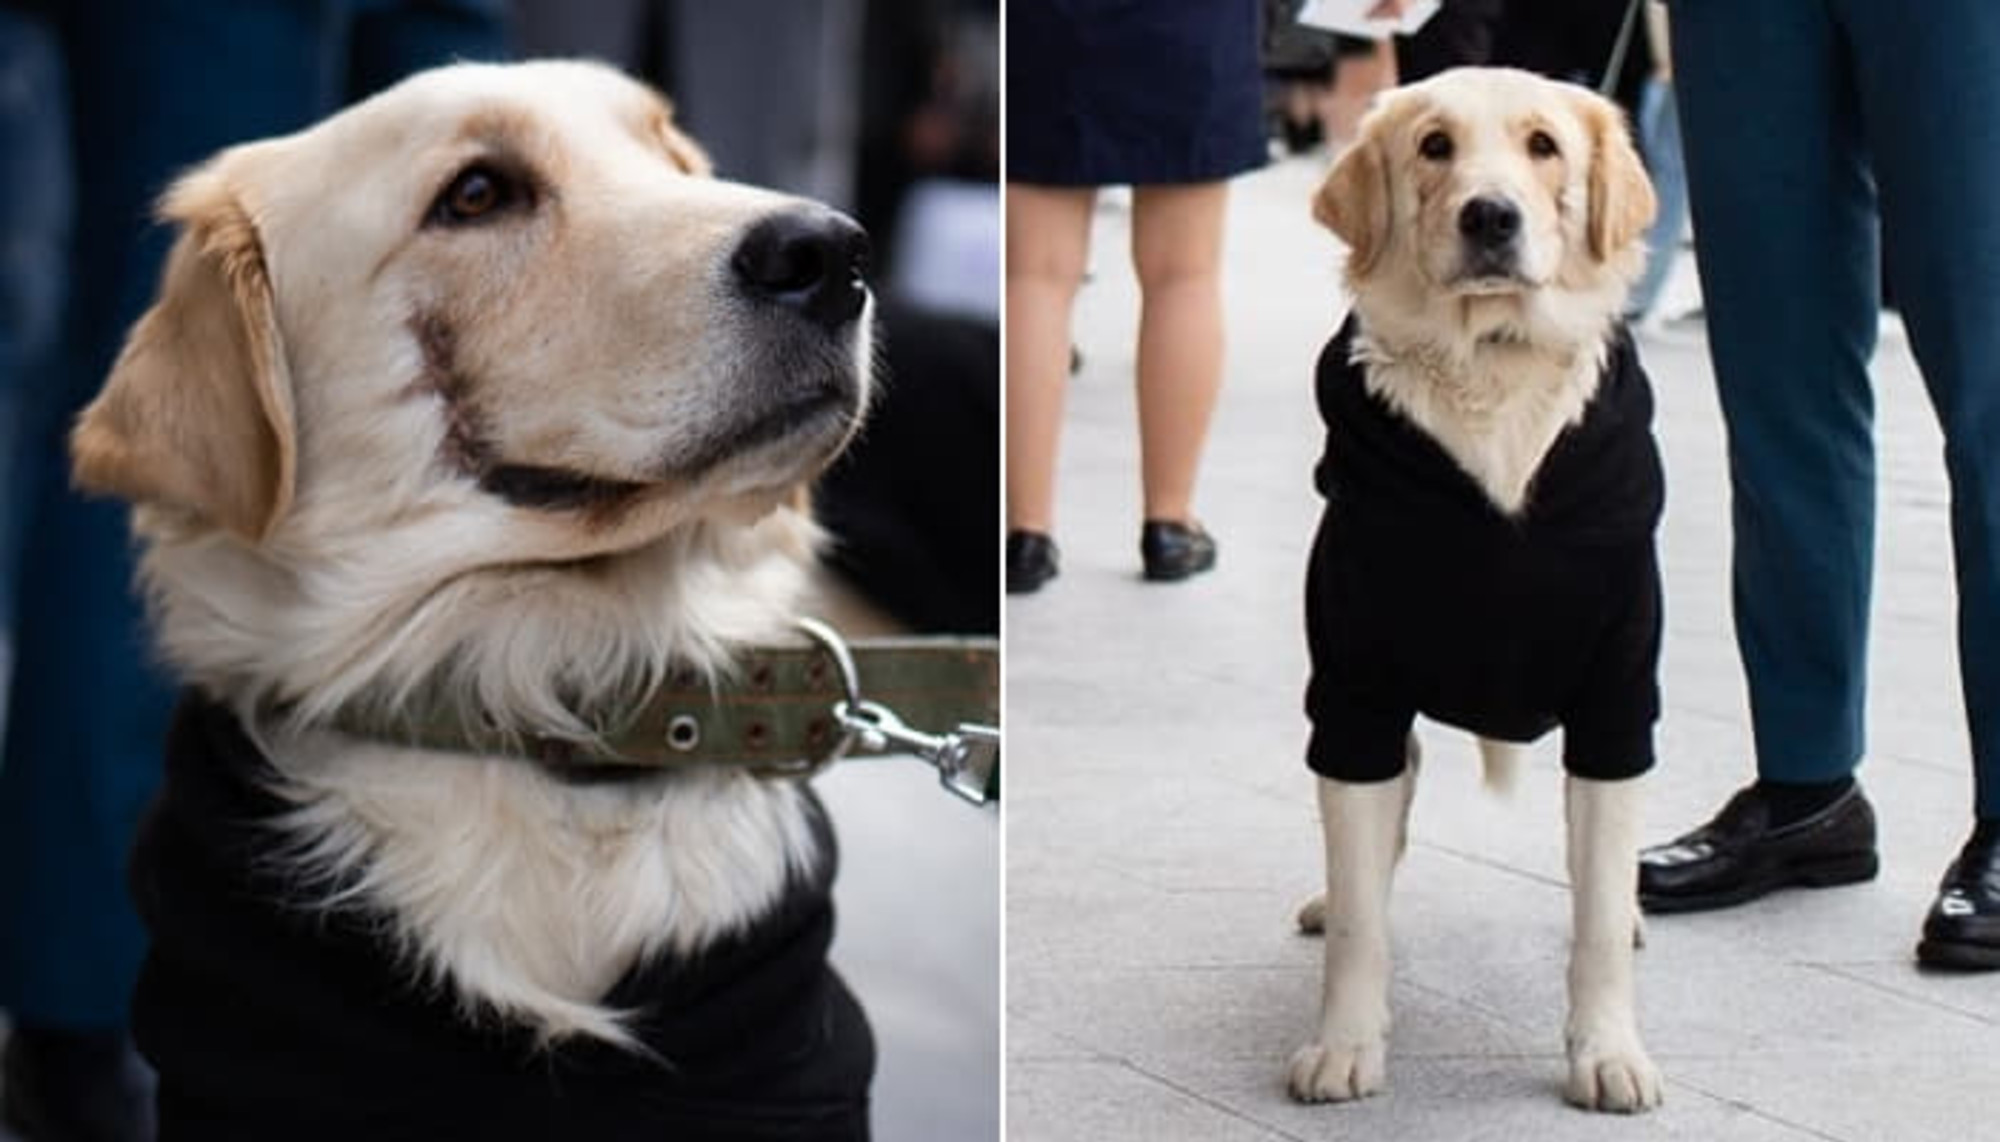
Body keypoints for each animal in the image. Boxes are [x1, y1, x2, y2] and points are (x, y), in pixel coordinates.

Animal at [1288, 67, 1664, 1112]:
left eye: (1543, 146)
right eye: (1433, 148)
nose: (1491, 215)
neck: (1491, 360)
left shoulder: (1619, 701)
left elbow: (1593, 921)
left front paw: (1608, 1051)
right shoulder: (1356, 697)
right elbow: (1362, 920)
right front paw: (1346, 1042)